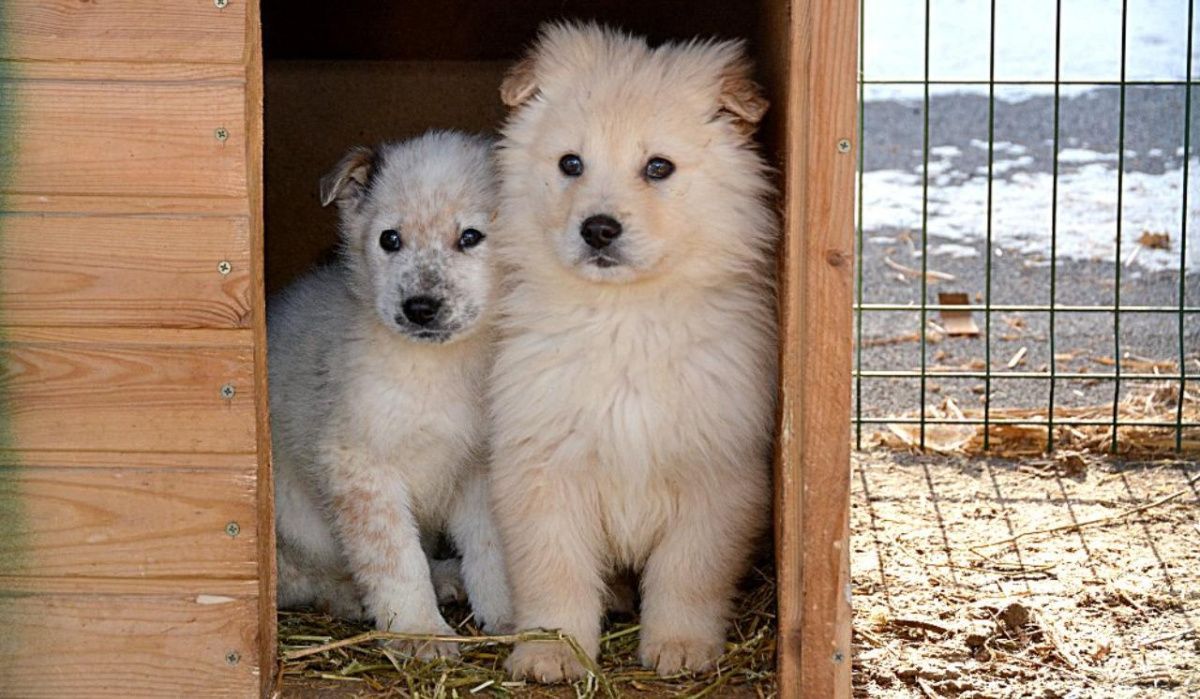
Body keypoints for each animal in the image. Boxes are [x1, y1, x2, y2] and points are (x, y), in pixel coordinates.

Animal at [272, 132, 511, 662]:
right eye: (390, 239)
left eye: (470, 237)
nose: (420, 307)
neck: (436, 371)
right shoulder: (362, 466)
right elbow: (396, 559)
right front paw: (420, 631)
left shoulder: (482, 465)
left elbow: (493, 548)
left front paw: (513, 616)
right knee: (301, 577)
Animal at [487, 23, 777, 686]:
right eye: (570, 163)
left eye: (658, 167)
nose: (598, 229)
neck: (624, 318)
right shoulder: (541, 468)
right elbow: (553, 572)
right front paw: (550, 653)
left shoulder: (717, 475)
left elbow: (689, 573)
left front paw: (681, 647)